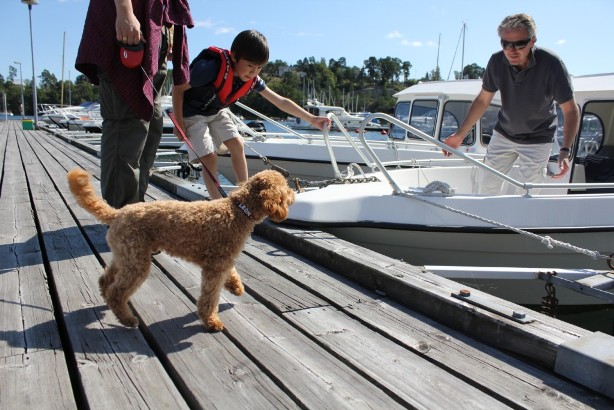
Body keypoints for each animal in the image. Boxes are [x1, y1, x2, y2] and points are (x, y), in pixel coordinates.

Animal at [67, 168, 296, 332]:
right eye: (285, 189)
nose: (294, 193)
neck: (239, 211)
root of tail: (116, 214)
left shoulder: (222, 260)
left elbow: (231, 273)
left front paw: (236, 287)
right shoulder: (215, 266)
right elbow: (210, 297)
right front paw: (211, 321)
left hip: (125, 254)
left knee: (105, 279)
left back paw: (107, 299)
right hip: (136, 261)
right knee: (117, 292)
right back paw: (128, 319)